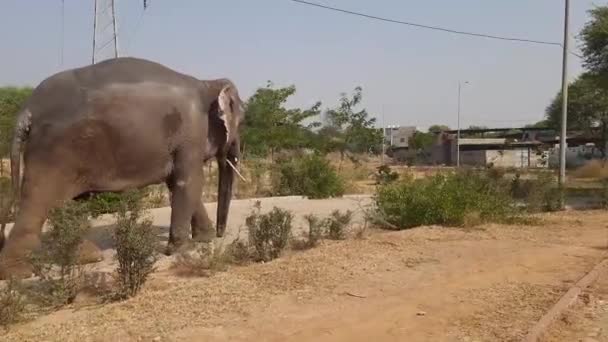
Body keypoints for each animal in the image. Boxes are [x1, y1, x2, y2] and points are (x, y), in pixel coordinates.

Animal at [0, 56, 243, 280]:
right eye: (240, 120)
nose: (221, 234)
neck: (207, 83)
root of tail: (28, 109)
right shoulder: (191, 132)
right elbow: (188, 182)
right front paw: (182, 250)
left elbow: (178, 183)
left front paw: (203, 240)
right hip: (54, 150)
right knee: (38, 200)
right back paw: (18, 274)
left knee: (61, 204)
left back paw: (87, 257)